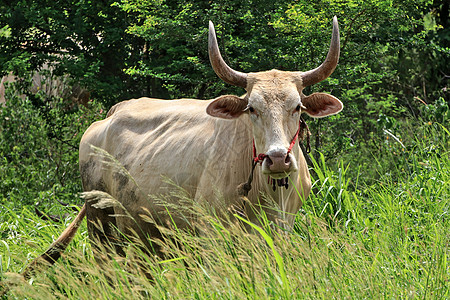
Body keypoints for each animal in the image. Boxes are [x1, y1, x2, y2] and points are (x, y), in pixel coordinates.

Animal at [22, 16, 342, 276]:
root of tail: (110, 115)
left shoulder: (280, 232)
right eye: (252, 108)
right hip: (100, 224)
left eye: (297, 107)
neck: (267, 195)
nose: (277, 159)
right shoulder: (211, 234)